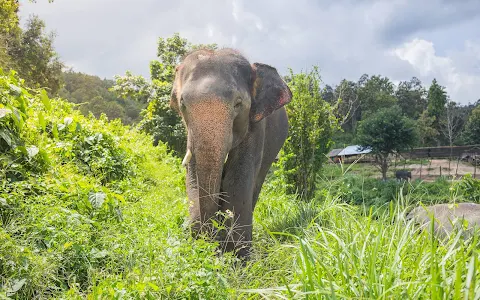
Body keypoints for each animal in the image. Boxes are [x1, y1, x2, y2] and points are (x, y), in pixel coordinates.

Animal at [170, 48, 292, 258]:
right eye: (183, 103)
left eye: (238, 104)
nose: (211, 244)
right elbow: (193, 177)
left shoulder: (256, 126)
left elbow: (237, 179)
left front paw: (237, 257)